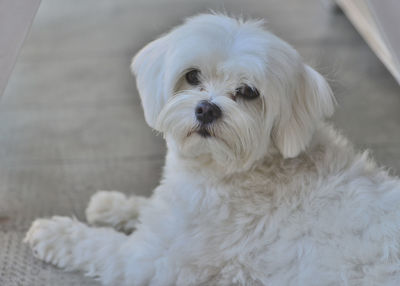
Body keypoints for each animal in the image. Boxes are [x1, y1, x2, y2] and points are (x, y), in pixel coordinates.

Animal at [24, 13, 400, 286]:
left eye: (248, 92)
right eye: (192, 76)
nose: (206, 109)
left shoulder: (154, 262)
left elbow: (100, 246)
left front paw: (56, 233)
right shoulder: (174, 212)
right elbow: (150, 205)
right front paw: (112, 204)